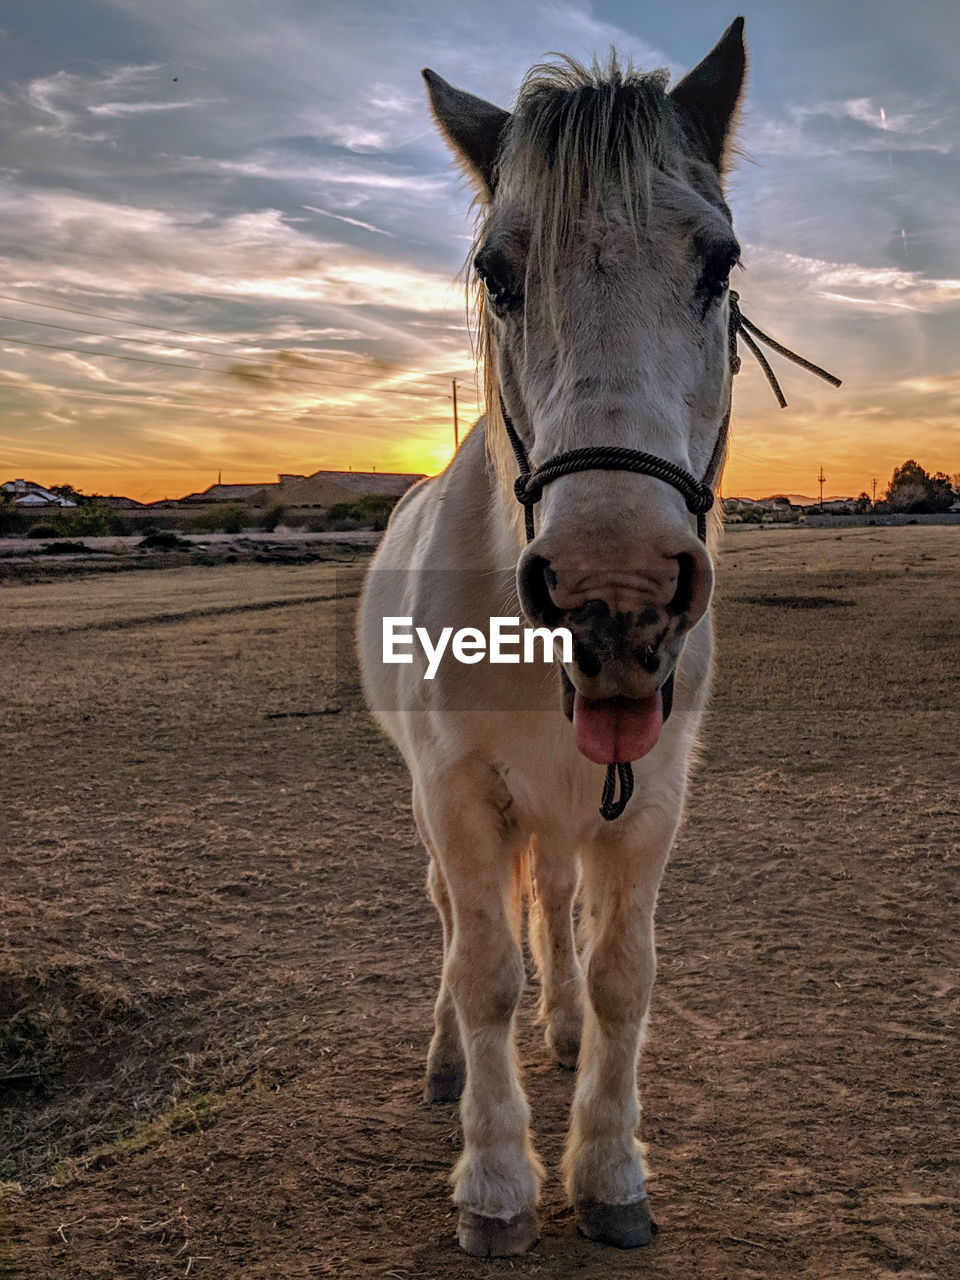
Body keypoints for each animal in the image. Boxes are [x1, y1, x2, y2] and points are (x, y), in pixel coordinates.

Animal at [360, 17, 752, 1259]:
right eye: (500, 273)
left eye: (718, 263)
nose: (611, 588)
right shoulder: (458, 794)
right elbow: (483, 967)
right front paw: (496, 1180)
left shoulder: (652, 794)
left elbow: (621, 968)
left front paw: (610, 1166)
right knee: (457, 923)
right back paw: (447, 1063)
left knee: (559, 906)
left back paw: (568, 1034)